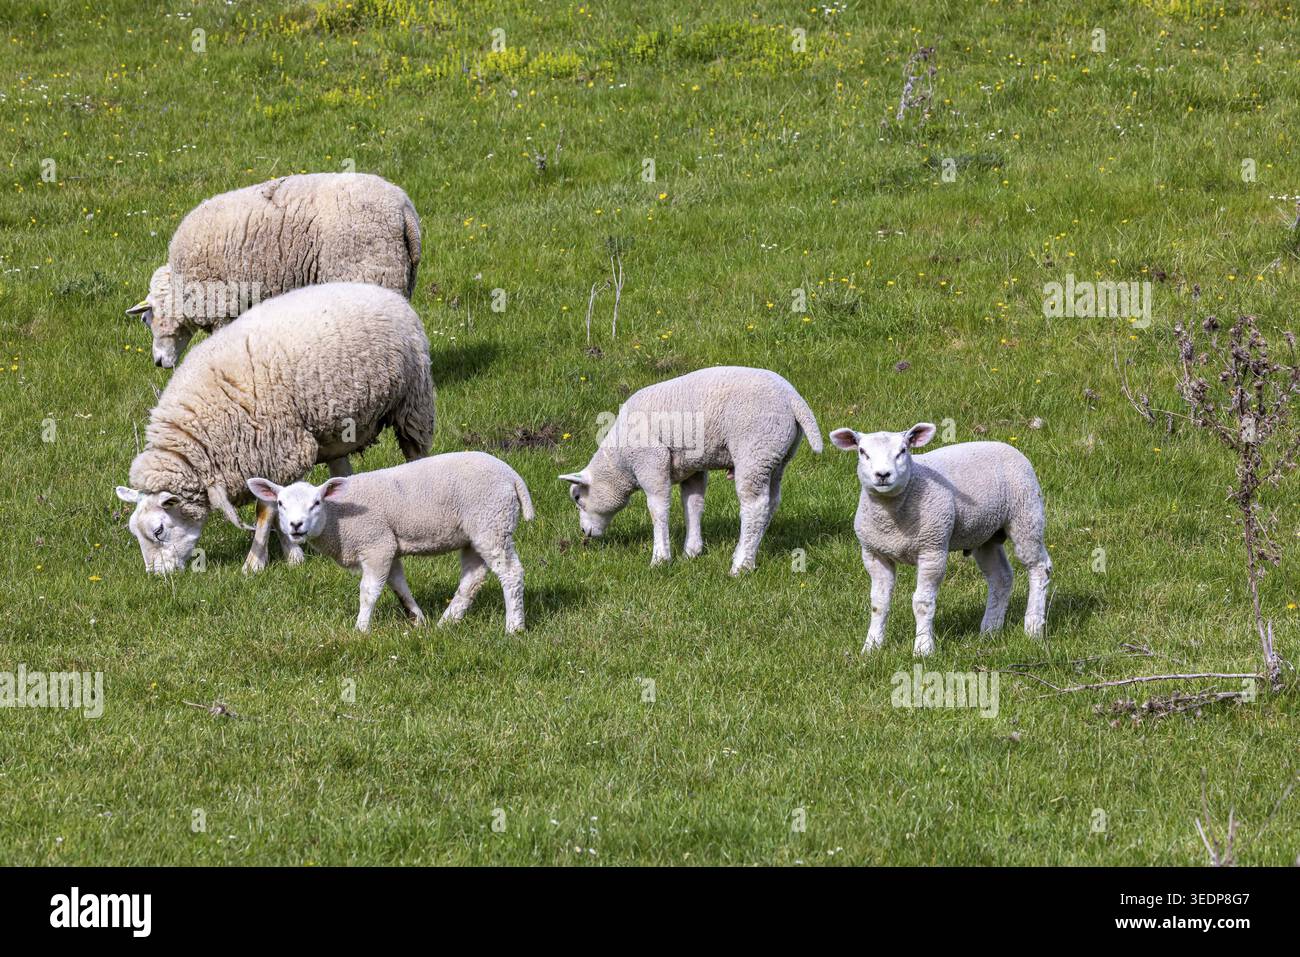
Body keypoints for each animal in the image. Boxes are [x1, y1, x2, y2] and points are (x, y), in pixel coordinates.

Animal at [114, 282, 435, 575]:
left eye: (159, 530)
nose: (159, 576)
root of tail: (382, 291)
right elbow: (280, 501)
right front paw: (293, 554)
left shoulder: (276, 451)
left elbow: (264, 510)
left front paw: (255, 563)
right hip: (335, 431)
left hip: (412, 404)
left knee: (417, 455)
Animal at [126, 173, 422, 367]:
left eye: (146, 319)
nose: (158, 362)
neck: (182, 283)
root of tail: (403, 210)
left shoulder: (222, 305)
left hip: (373, 270)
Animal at [245, 452, 533, 633]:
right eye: (280, 504)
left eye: (316, 503)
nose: (296, 526)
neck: (336, 517)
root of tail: (512, 475)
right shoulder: (388, 546)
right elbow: (399, 586)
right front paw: (418, 620)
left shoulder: (376, 543)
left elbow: (369, 591)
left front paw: (361, 629)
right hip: (474, 534)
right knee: (473, 577)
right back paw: (447, 623)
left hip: (491, 523)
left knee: (511, 573)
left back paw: (514, 628)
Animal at [559, 366, 823, 574]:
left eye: (577, 498)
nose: (584, 532)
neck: (620, 462)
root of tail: (792, 397)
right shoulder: (693, 468)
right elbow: (693, 505)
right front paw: (691, 552)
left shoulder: (651, 462)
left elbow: (658, 509)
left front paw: (660, 559)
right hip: (777, 456)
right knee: (772, 502)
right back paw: (745, 553)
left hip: (755, 450)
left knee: (755, 506)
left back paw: (741, 566)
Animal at [830, 423, 1051, 656]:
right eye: (862, 452)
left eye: (903, 450)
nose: (883, 474)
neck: (891, 521)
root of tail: (1005, 445)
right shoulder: (874, 553)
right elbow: (878, 603)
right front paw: (871, 647)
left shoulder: (932, 548)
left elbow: (922, 602)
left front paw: (923, 648)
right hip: (985, 534)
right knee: (1001, 577)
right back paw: (990, 630)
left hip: (1026, 514)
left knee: (1039, 568)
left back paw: (1033, 628)